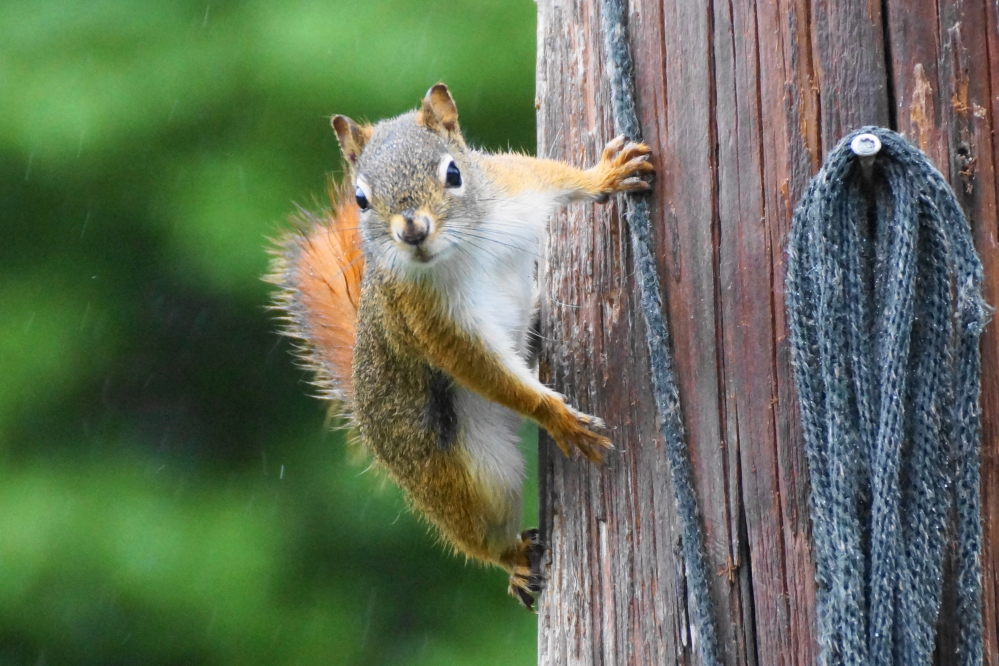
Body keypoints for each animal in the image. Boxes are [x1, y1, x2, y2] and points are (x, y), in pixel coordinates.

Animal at [269, 83, 653, 608]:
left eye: (453, 173)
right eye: (361, 199)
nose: (412, 230)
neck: (464, 247)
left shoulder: (515, 188)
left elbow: (557, 176)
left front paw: (606, 174)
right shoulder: (434, 322)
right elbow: (485, 370)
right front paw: (559, 418)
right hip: (466, 477)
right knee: (480, 532)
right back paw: (514, 560)